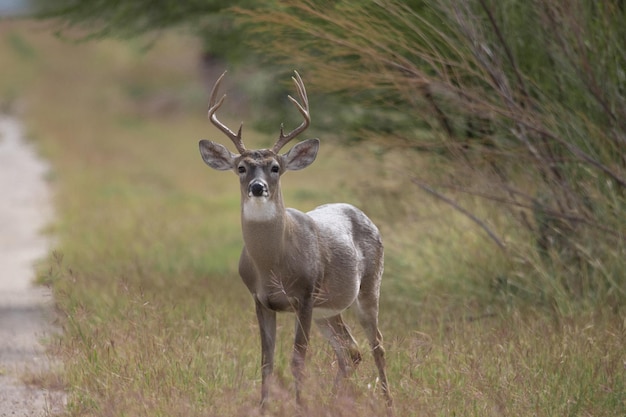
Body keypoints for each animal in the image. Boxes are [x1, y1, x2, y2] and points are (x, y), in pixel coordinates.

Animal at [197, 71, 390, 410]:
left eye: (276, 167)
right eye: (241, 167)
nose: (258, 187)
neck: (273, 264)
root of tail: (361, 213)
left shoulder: (305, 295)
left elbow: (298, 359)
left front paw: (301, 406)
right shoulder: (260, 300)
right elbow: (266, 361)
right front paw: (263, 409)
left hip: (367, 287)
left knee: (376, 343)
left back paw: (388, 402)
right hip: (330, 308)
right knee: (350, 350)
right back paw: (334, 402)